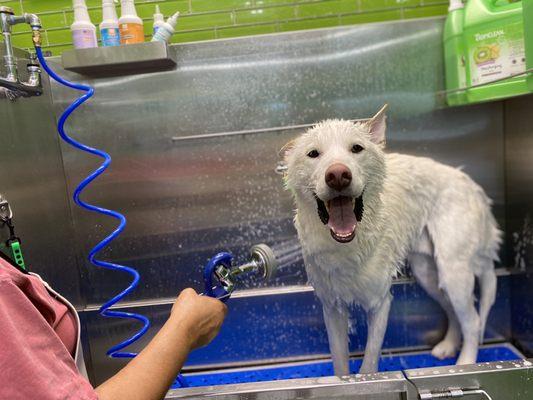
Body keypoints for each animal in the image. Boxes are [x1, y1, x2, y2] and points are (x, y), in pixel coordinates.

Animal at [284, 105, 500, 376]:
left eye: (356, 148)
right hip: (428, 273)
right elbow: (340, 363)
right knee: (453, 310)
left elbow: (369, 364)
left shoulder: (380, 303)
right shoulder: (332, 308)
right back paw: (449, 346)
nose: (338, 175)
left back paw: (465, 363)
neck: (348, 245)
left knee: (472, 320)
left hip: (454, 271)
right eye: (313, 153)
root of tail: (472, 185)